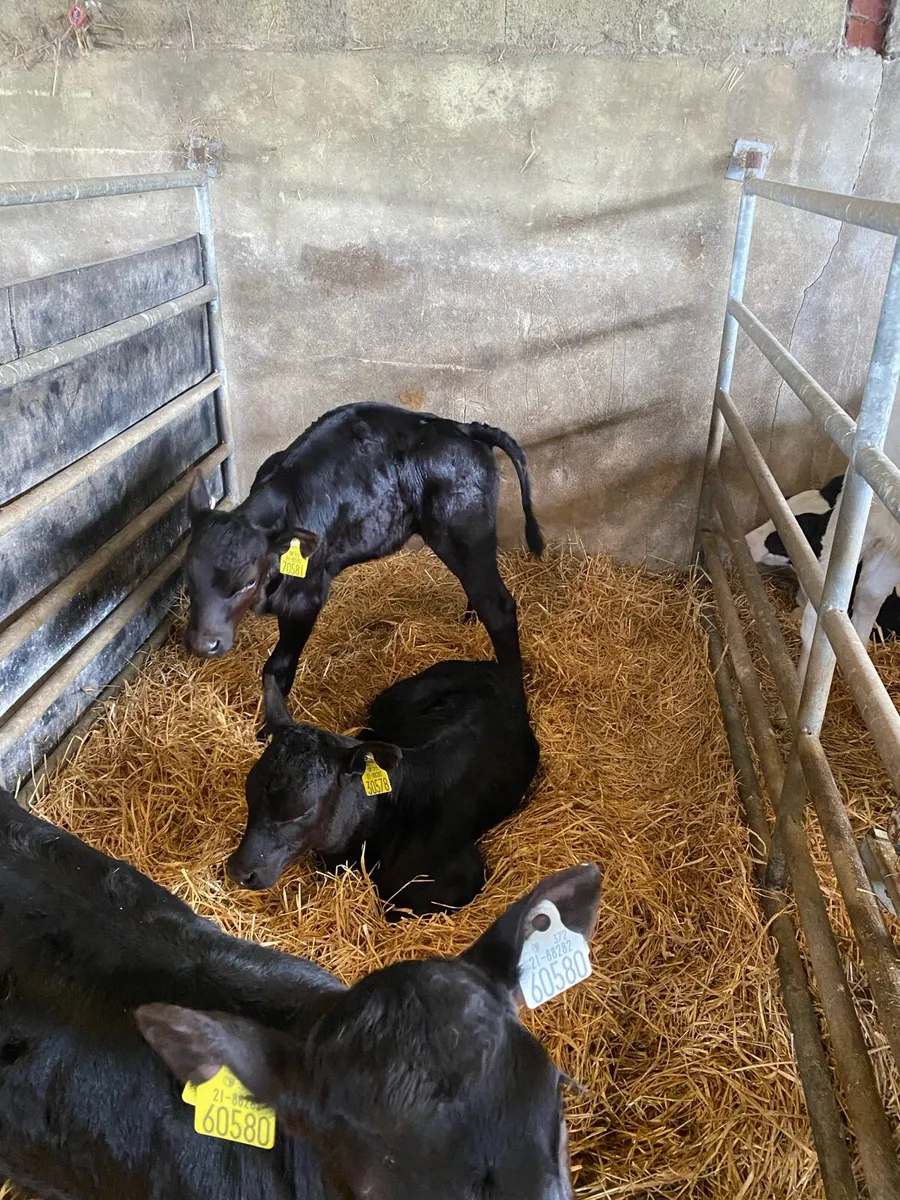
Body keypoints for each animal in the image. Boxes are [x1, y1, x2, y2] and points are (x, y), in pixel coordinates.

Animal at [184, 403, 544, 704]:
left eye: (247, 581)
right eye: (189, 579)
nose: (204, 645)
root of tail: (462, 427)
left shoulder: (304, 599)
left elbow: (277, 670)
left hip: (463, 531)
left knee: (497, 606)